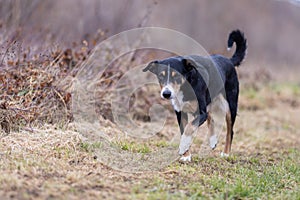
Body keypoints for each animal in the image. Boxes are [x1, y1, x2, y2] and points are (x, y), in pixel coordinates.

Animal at [143, 29, 246, 162]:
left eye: (177, 75)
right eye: (161, 76)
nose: (166, 94)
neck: (185, 86)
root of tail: (229, 61)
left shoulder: (201, 112)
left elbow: (189, 128)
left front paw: (183, 147)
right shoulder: (180, 112)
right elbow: (184, 130)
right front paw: (186, 155)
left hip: (230, 105)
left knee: (230, 130)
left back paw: (226, 153)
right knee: (211, 118)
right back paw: (212, 140)